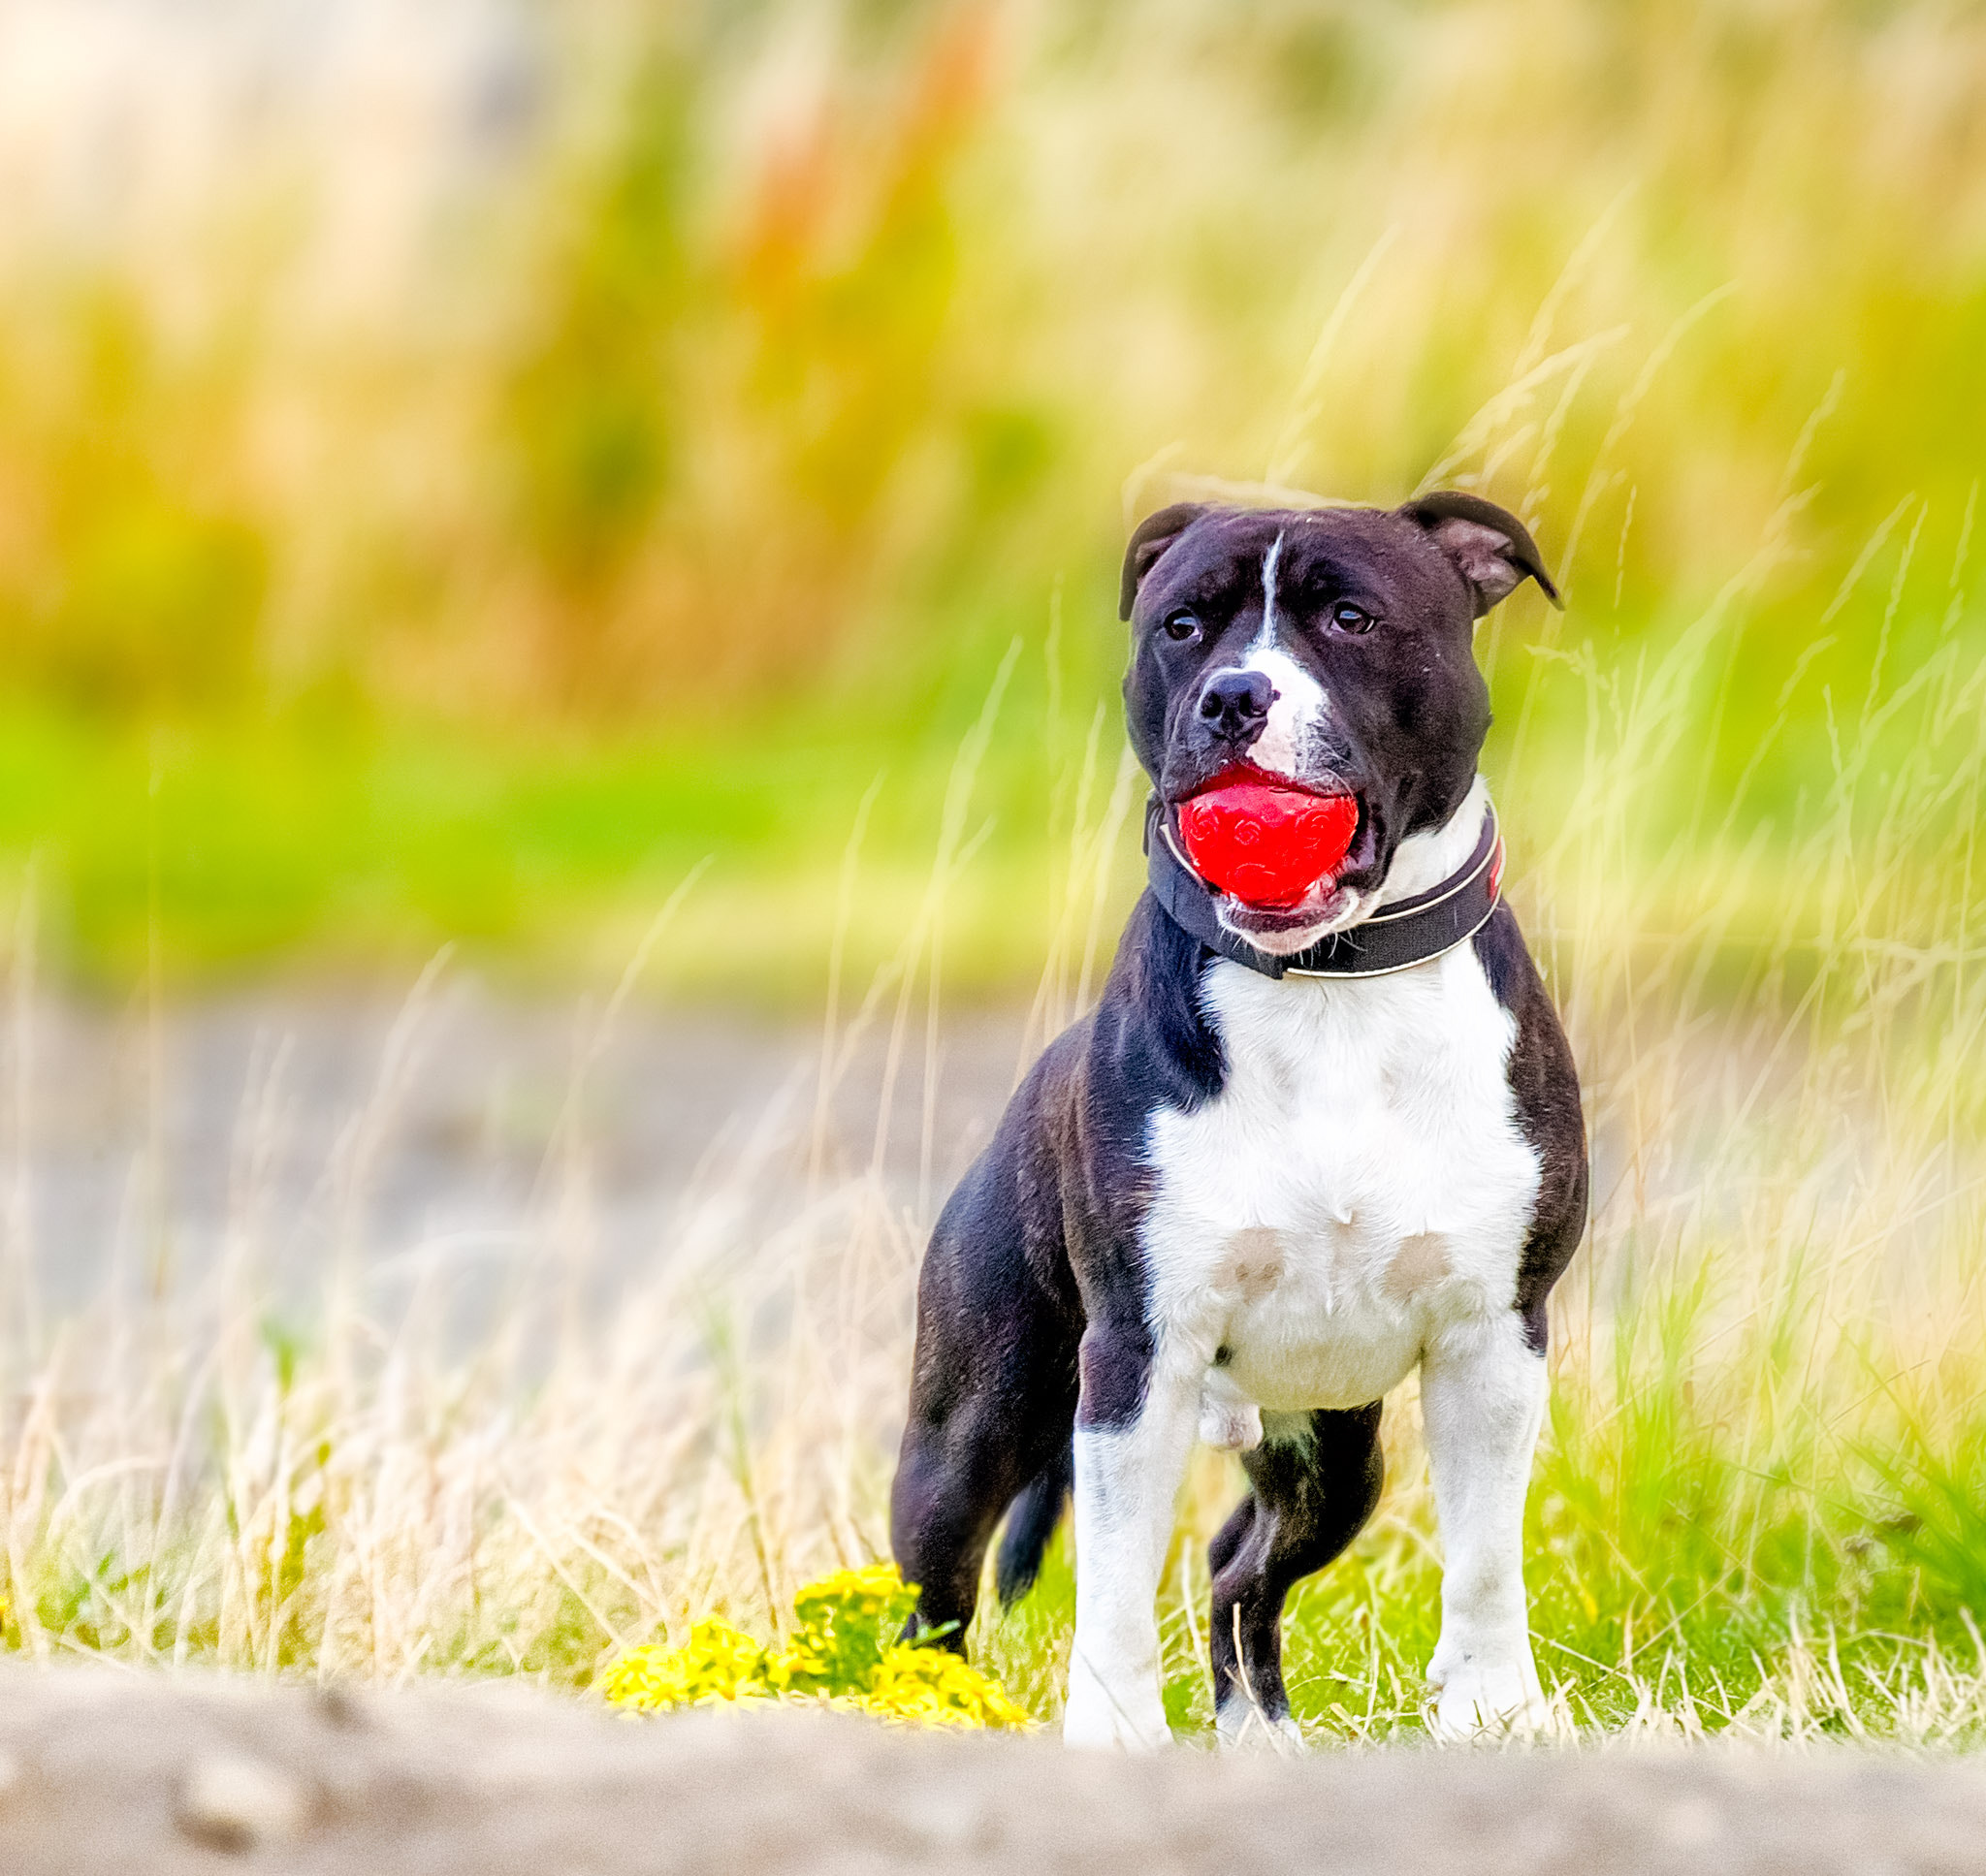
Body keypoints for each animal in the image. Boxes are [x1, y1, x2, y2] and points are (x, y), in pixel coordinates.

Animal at [893, 486, 1588, 1738]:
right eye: (1182, 626)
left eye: (1350, 617)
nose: (1232, 695)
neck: (1330, 986)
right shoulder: (1137, 1356)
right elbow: (1115, 1584)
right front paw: (1114, 1737)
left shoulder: (1492, 1339)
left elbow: (1481, 1562)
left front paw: (1491, 1715)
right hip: (967, 1433)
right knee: (935, 1596)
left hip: (1332, 1459)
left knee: (1238, 1572)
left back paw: (1261, 1739)